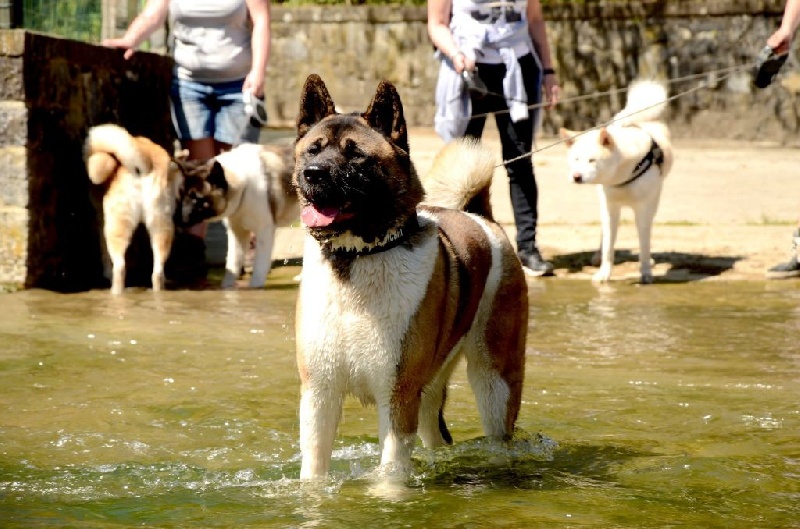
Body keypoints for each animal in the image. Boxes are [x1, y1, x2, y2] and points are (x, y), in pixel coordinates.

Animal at [290, 73, 528, 478]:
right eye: (313, 150)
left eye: (356, 154)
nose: (313, 174)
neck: (359, 258)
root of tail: (482, 219)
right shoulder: (319, 394)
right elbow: (314, 472)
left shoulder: (398, 396)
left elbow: (390, 474)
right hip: (431, 389)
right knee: (436, 435)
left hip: (494, 382)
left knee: (498, 434)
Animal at [560, 79, 672, 284]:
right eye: (576, 159)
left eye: (592, 160)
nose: (577, 177)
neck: (622, 174)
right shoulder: (609, 207)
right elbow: (608, 246)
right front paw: (604, 273)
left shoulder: (643, 209)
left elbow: (644, 243)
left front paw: (646, 272)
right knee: (604, 235)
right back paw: (597, 256)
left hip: (653, 202)